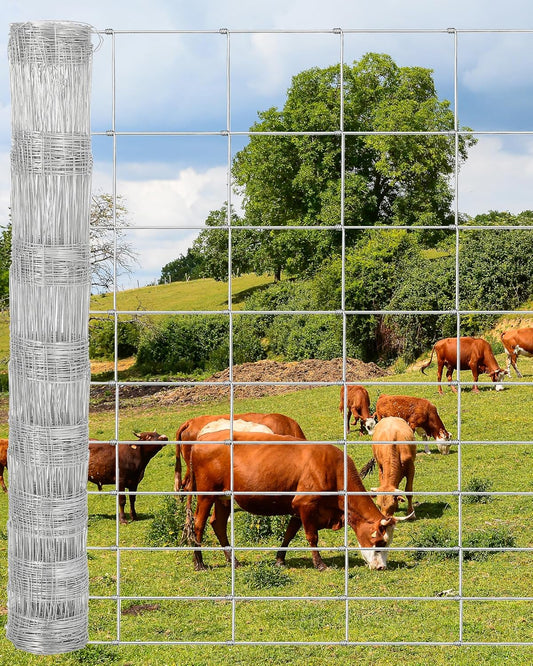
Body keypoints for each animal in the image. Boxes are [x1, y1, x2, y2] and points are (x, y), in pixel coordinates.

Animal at [188, 430, 412, 572]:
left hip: (223, 498)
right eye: (380, 542)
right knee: (198, 526)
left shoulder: (298, 508)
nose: (381, 567)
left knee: (218, 524)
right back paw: (199, 563)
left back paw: (232, 560)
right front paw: (320, 564)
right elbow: (312, 537)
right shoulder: (306, 504)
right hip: (206, 494)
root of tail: (201, 439)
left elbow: (289, 533)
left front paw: (280, 559)